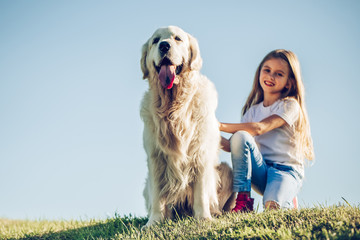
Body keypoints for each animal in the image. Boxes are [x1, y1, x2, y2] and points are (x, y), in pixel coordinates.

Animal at [139, 26, 235, 227]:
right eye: (155, 40)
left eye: (177, 39)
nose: (164, 45)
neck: (173, 108)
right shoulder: (155, 157)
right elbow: (158, 196)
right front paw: (153, 223)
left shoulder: (200, 153)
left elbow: (201, 193)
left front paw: (203, 218)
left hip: (225, 170)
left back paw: (215, 213)